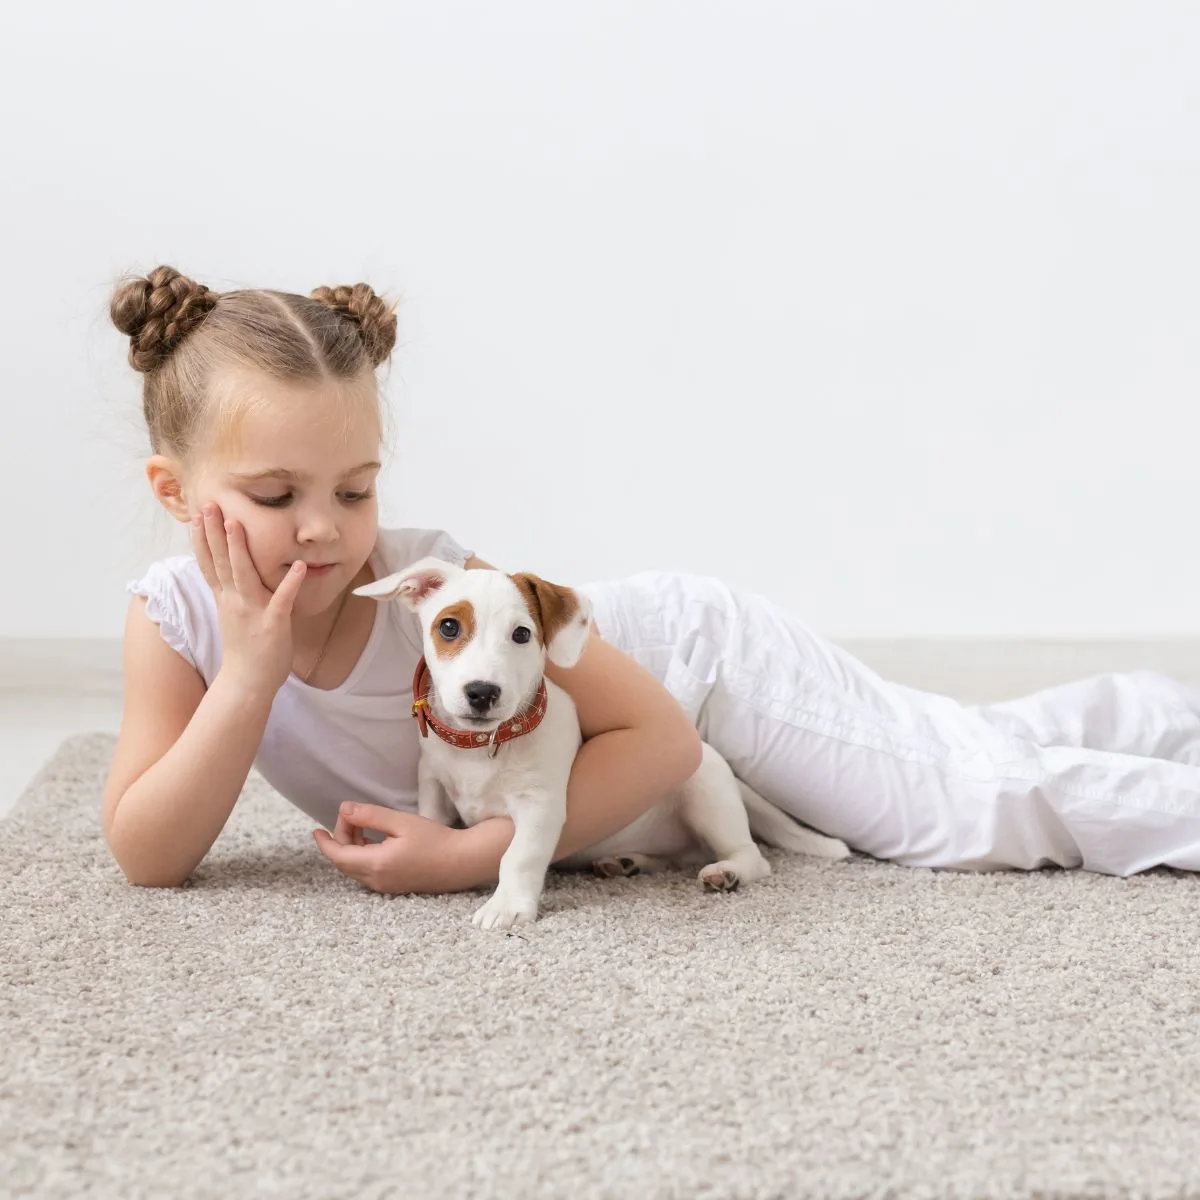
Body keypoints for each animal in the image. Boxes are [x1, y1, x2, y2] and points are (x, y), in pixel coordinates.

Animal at [350, 556, 849, 931]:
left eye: (522, 634)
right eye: (449, 627)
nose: (482, 693)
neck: (482, 746)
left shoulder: (540, 806)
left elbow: (518, 855)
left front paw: (508, 905)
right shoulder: (433, 784)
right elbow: (434, 819)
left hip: (706, 795)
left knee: (750, 855)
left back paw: (727, 872)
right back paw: (626, 861)